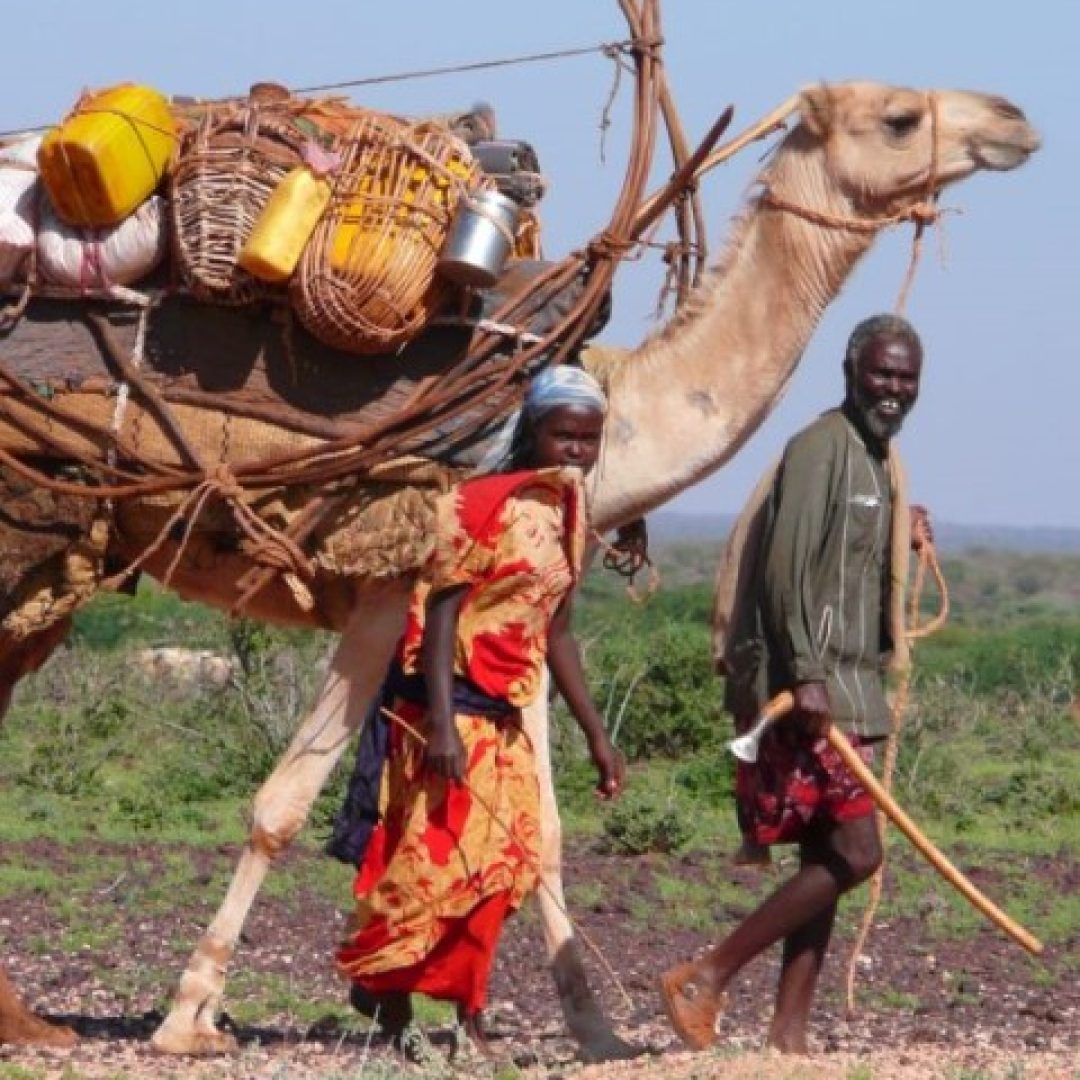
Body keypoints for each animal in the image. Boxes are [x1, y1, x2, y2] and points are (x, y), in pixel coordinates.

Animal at [0, 81, 1038, 1058]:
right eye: (899, 118)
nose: (1014, 121)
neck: (611, 417)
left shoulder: (530, 617)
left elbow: (544, 828)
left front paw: (591, 1029)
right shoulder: (391, 582)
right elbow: (281, 804)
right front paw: (188, 1018)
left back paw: (30, 1022)